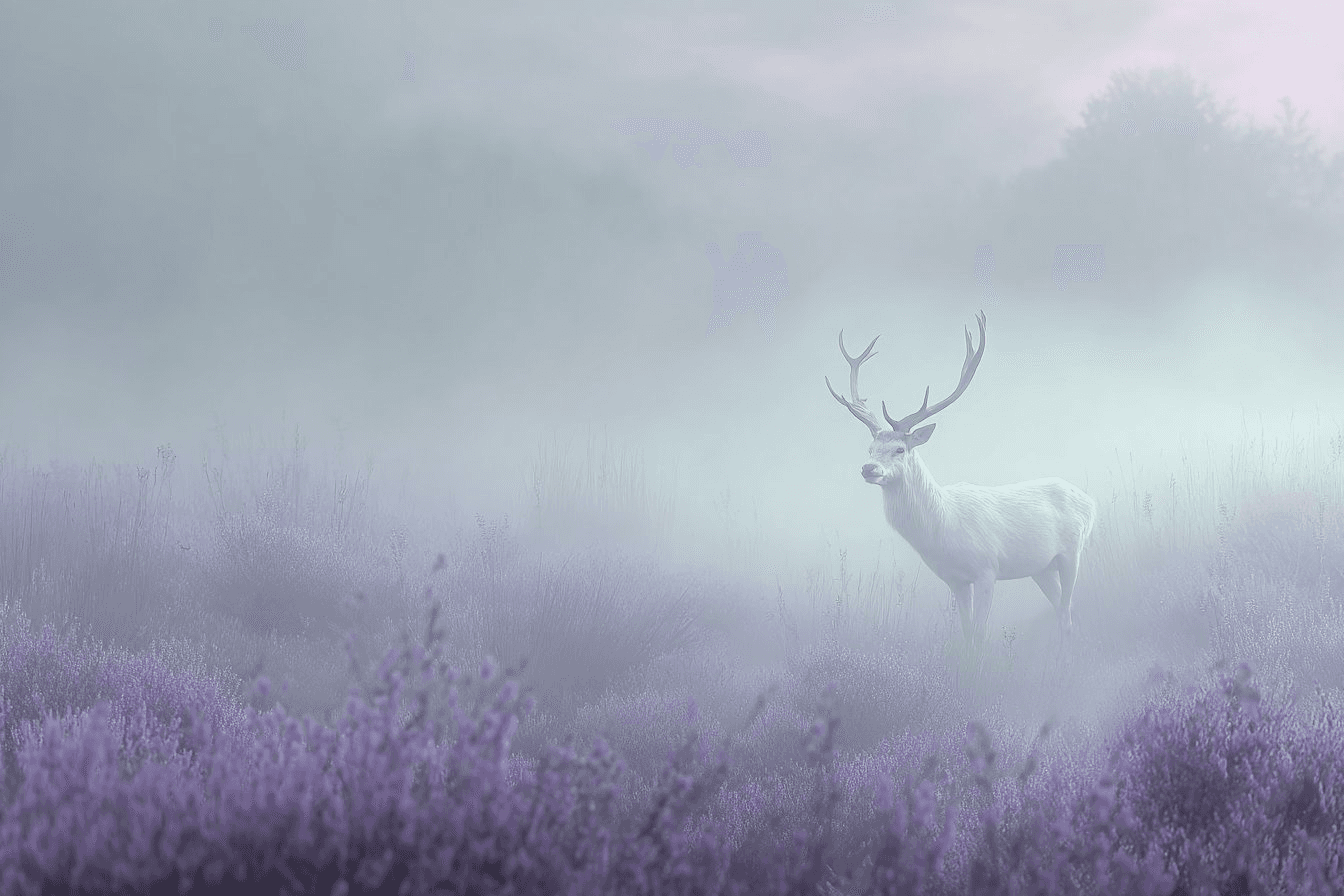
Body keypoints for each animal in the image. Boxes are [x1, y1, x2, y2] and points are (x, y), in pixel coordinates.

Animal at [825, 311, 1096, 654]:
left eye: (900, 449)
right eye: (870, 449)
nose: (868, 468)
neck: (944, 527)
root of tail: (1091, 502)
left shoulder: (987, 569)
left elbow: (979, 634)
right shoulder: (954, 580)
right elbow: (966, 634)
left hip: (1072, 552)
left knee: (1067, 612)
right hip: (1041, 568)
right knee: (1063, 609)